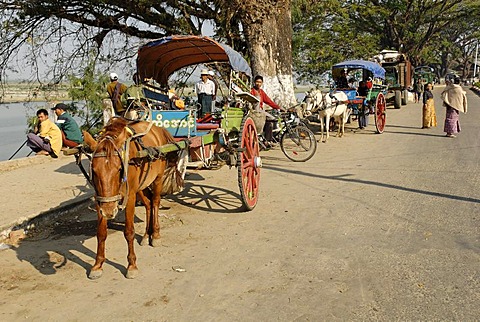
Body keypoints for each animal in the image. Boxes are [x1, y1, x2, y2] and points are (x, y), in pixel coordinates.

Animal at [83, 117, 183, 278]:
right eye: (94, 169)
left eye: (119, 169)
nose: (109, 212)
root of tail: (158, 129)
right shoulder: (100, 200)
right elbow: (101, 233)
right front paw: (97, 265)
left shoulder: (130, 197)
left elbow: (129, 232)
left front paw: (131, 265)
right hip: (141, 185)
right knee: (148, 204)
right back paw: (146, 235)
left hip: (157, 179)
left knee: (155, 202)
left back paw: (155, 234)